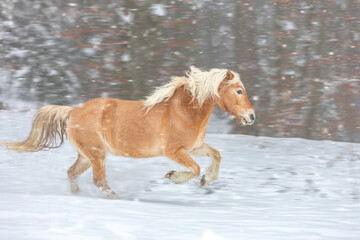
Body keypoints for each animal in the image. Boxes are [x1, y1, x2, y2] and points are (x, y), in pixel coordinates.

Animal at [3, 66, 256, 199]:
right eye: (239, 91)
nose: (251, 116)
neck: (183, 111)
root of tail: (73, 111)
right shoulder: (174, 151)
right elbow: (194, 169)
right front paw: (173, 176)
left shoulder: (195, 147)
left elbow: (216, 155)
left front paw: (207, 180)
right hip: (96, 154)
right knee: (99, 180)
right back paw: (116, 198)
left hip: (87, 155)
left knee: (72, 173)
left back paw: (77, 196)